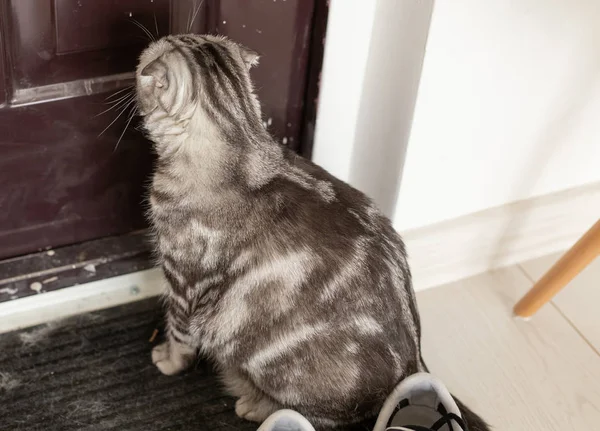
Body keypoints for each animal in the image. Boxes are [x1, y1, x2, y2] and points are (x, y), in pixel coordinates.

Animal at [135, 34, 488, 431]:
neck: (243, 149)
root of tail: (416, 362)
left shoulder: (183, 282)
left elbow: (178, 334)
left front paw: (167, 360)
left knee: (314, 415)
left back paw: (254, 403)